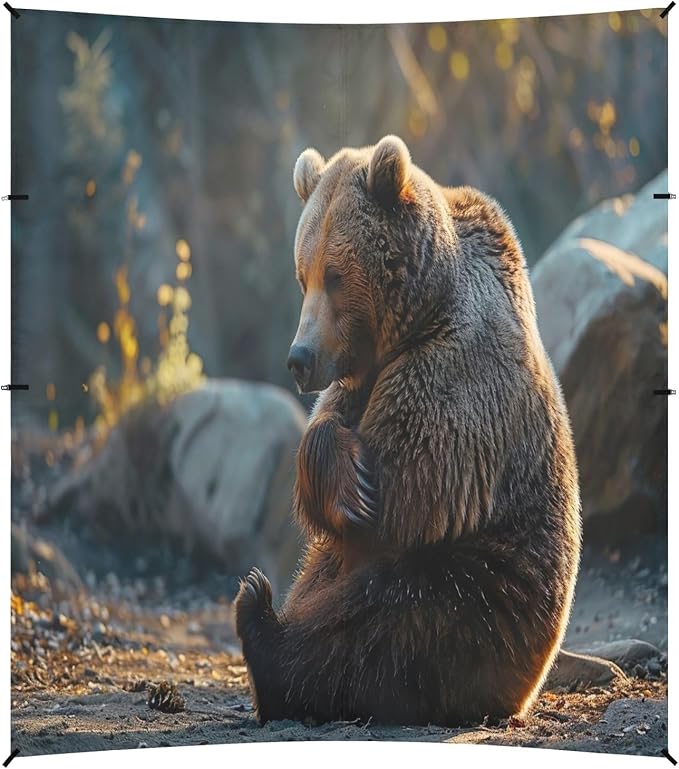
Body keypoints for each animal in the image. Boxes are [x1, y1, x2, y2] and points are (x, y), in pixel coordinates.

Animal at [234, 135, 582, 727]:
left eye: (335, 275)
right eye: (302, 274)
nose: (300, 359)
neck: (418, 311)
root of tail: (523, 691)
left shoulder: (454, 369)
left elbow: (409, 490)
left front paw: (360, 492)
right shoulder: (359, 375)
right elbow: (327, 429)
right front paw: (342, 475)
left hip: (493, 599)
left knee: (381, 628)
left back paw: (263, 625)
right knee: (326, 581)